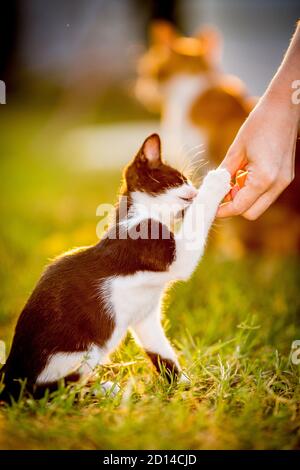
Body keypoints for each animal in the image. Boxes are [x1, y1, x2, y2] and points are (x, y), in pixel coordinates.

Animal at [0, 134, 230, 402]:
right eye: (179, 179)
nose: (193, 190)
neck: (134, 216)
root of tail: (10, 382)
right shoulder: (155, 246)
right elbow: (193, 228)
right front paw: (216, 182)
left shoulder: (146, 316)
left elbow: (160, 351)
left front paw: (181, 383)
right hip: (81, 351)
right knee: (51, 391)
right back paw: (101, 389)